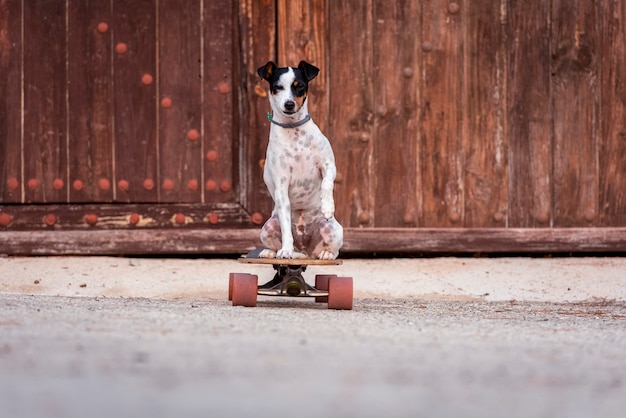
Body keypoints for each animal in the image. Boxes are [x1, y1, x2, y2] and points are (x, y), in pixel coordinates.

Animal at [256, 60, 344, 260]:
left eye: (300, 87)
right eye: (277, 87)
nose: (289, 104)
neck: (293, 130)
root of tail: (305, 249)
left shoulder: (329, 166)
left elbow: (327, 183)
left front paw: (327, 206)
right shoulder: (281, 186)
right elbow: (286, 227)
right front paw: (286, 250)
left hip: (333, 229)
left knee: (334, 250)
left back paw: (326, 254)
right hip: (268, 227)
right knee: (277, 241)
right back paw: (272, 251)